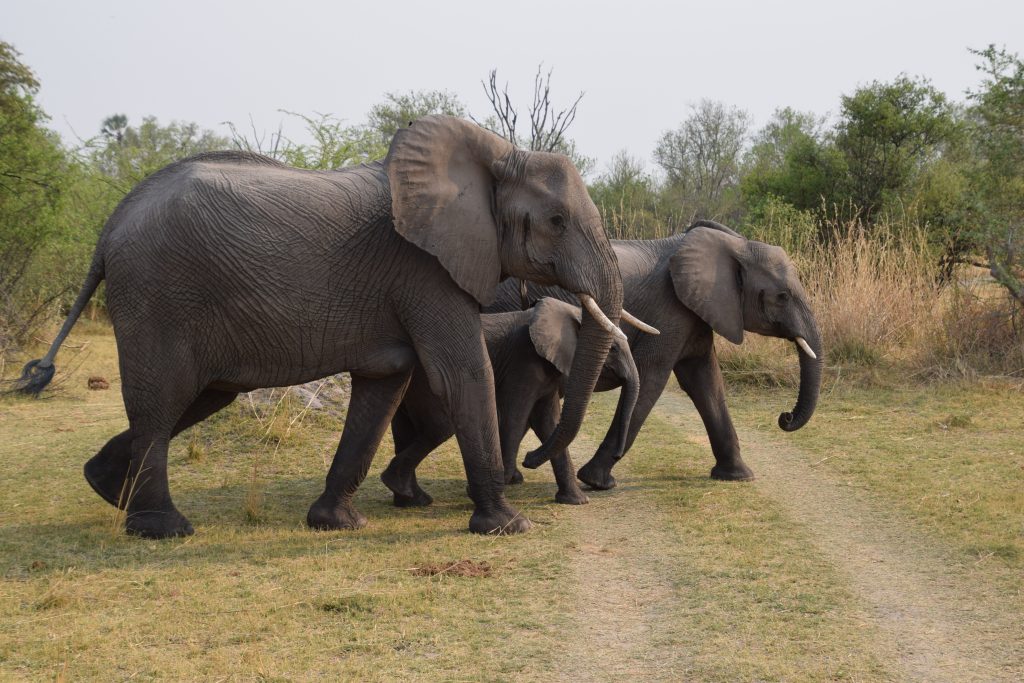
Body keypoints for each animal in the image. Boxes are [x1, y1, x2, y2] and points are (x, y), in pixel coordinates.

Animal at [380, 297, 642, 508]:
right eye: (613, 349)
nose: (528, 459)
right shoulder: (523, 363)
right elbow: (516, 416)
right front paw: (498, 485)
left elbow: (548, 421)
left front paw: (576, 501)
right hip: (425, 381)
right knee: (438, 426)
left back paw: (410, 498)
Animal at [486, 220, 823, 489]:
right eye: (782, 296)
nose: (785, 417)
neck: (735, 245)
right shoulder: (669, 309)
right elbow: (653, 377)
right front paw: (596, 482)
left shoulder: (694, 313)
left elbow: (705, 382)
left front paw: (738, 476)